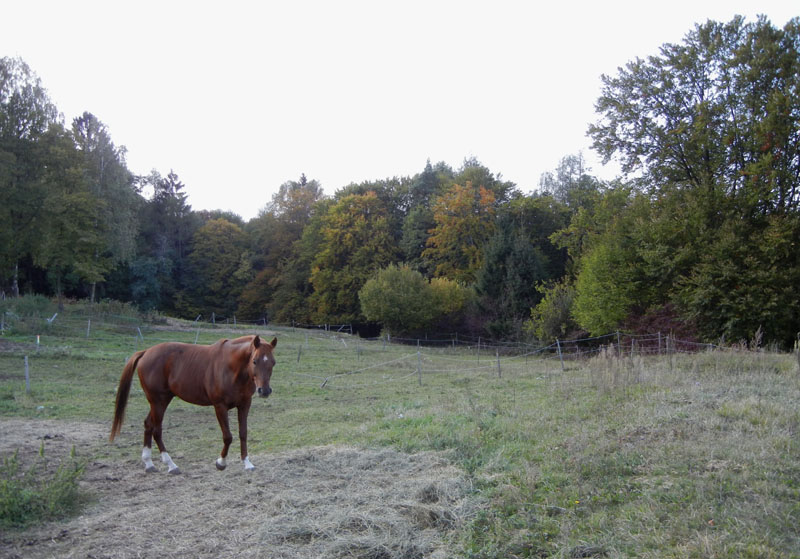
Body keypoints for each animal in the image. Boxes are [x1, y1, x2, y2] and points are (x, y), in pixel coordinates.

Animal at [110, 334, 278, 474]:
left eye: (273, 362)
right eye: (254, 361)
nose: (264, 390)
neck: (231, 368)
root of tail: (145, 352)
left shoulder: (244, 404)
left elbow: (243, 433)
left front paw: (247, 463)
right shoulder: (220, 406)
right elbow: (227, 436)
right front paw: (221, 463)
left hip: (160, 401)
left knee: (148, 424)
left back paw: (149, 463)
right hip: (158, 401)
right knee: (157, 430)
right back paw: (171, 465)